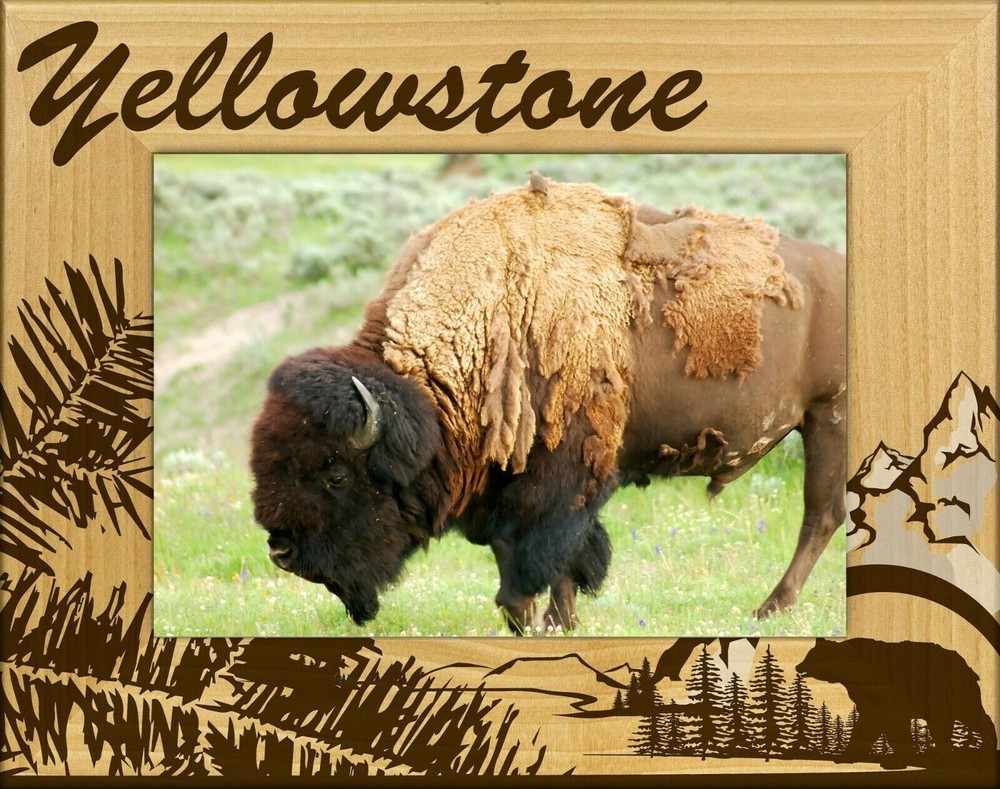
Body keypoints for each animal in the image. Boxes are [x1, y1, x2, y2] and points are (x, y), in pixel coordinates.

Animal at [797, 638, 997, 766]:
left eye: (810, 656)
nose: (798, 666)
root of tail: (968, 666)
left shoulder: (890, 695)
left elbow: (893, 724)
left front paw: (897, 759)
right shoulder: (869, 699)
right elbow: (870, 724)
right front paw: (846, 755)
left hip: (946, 692)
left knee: (964, 716)